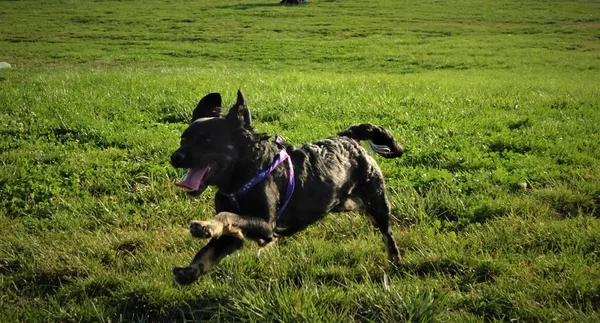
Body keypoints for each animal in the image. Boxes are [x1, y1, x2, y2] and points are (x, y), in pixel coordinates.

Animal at [169, 90, 404, 284]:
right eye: (183, 139)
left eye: (206, 139)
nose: (175, 157)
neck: (245, 173)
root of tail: (348, 137)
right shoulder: (234, 237)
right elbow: (208, 251)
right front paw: (191, 271)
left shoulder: (267, 225)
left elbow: (226, 216)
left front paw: (205, 225)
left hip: (377, 204)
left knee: (388, 235)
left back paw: (396, 264)